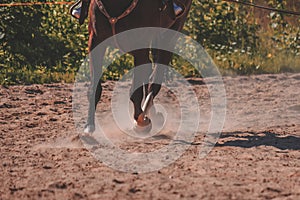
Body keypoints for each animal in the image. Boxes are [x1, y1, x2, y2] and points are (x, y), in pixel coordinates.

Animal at [84, 1, 192, 134]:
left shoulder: (140, 47)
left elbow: (135, 90)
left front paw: (141, 121)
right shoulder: (96, 42)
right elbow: (94, 87)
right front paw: (89, 125)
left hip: (172, 31)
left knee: (156, 73)